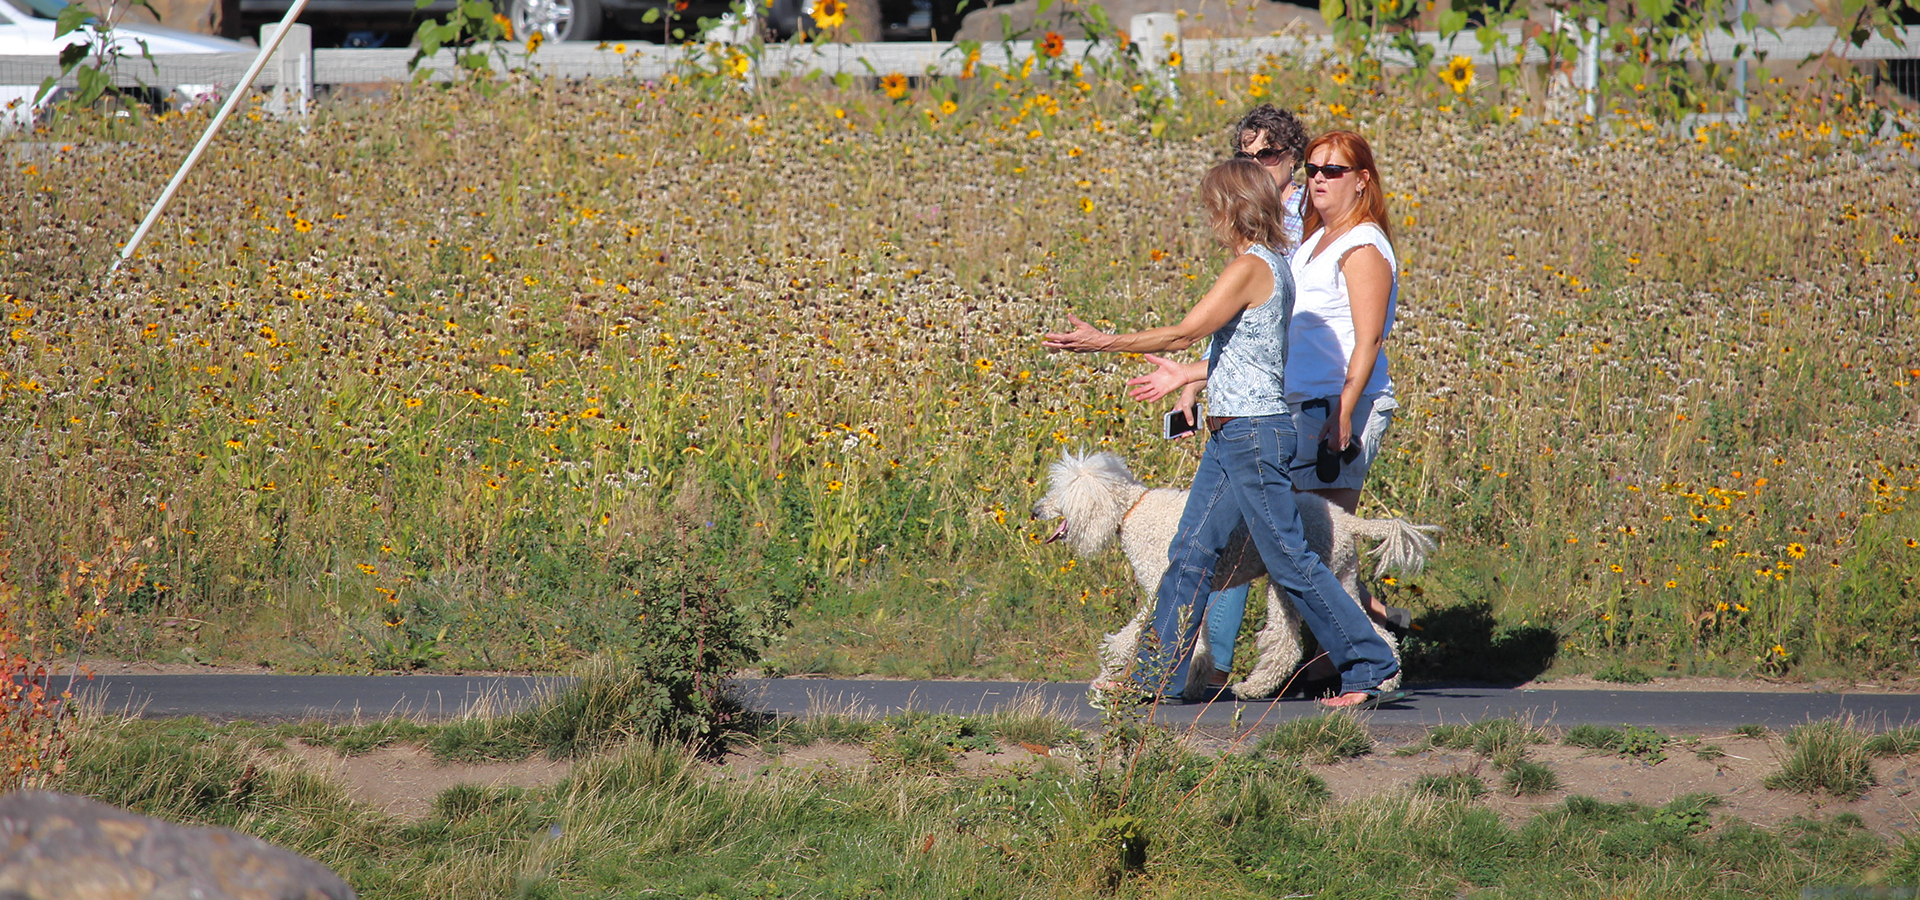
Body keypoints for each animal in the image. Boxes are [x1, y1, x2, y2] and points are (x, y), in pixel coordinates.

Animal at [1036, 449, 1443, 702]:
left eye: (1060, 491)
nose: (1036, 510)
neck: (1132, 509)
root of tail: (1347, 520)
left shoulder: (1161, 585)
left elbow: (1132, 636)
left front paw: (1106, 676)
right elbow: (1196, 643)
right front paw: (1192, 683)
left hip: (1292, 580)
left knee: (1287, 643)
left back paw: (1254, 689)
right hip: (1337, 575)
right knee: (1373, 633)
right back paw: (1384, 681)